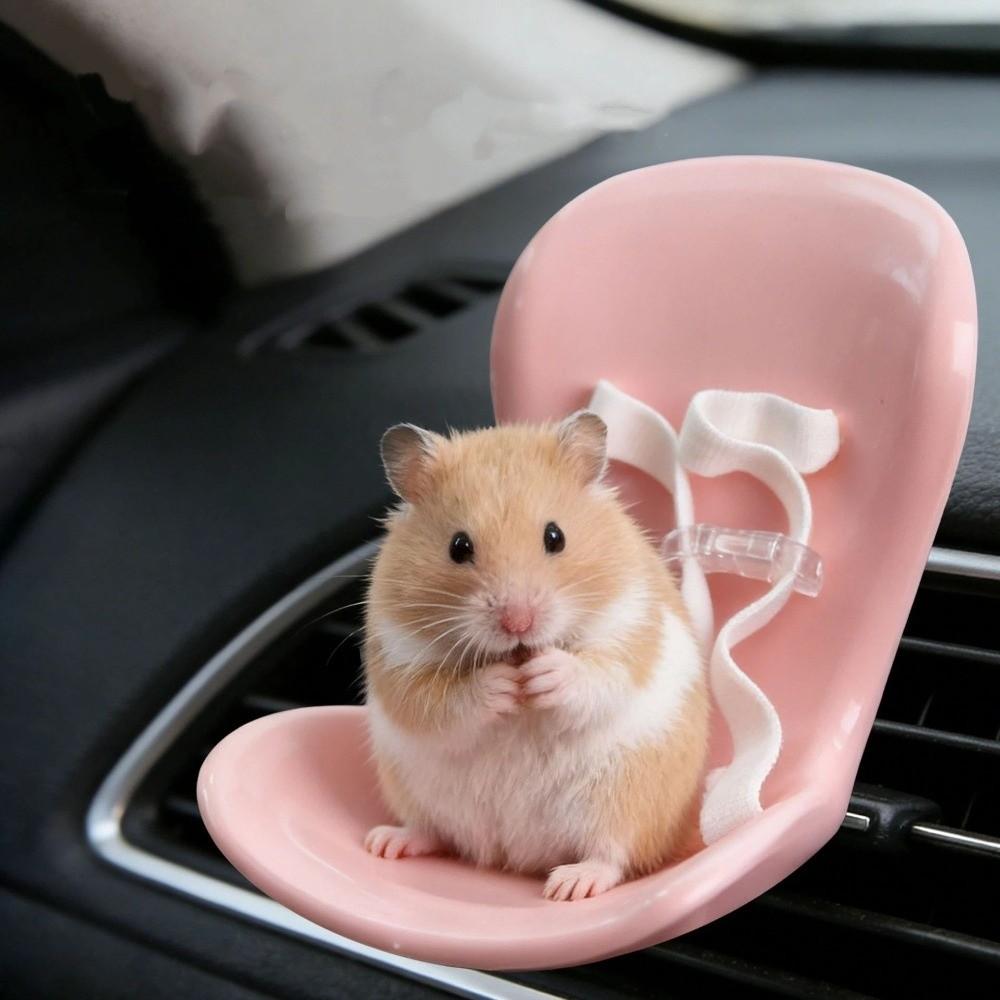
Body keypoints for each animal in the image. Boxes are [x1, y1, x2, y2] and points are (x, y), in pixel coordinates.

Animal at [362, 410, 709, 901]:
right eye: (458, 546)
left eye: (555, 536)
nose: (518, 624)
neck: (516, 656)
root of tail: (514, 858)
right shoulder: (396, 655)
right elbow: (438, 700)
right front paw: (503, 685)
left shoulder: (630, 626)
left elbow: (600, 674)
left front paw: (544, 675)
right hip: (413, 790)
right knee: (434, 832)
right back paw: (384, 843)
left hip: (627, 797)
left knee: (613, 855)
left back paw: (568, 886)